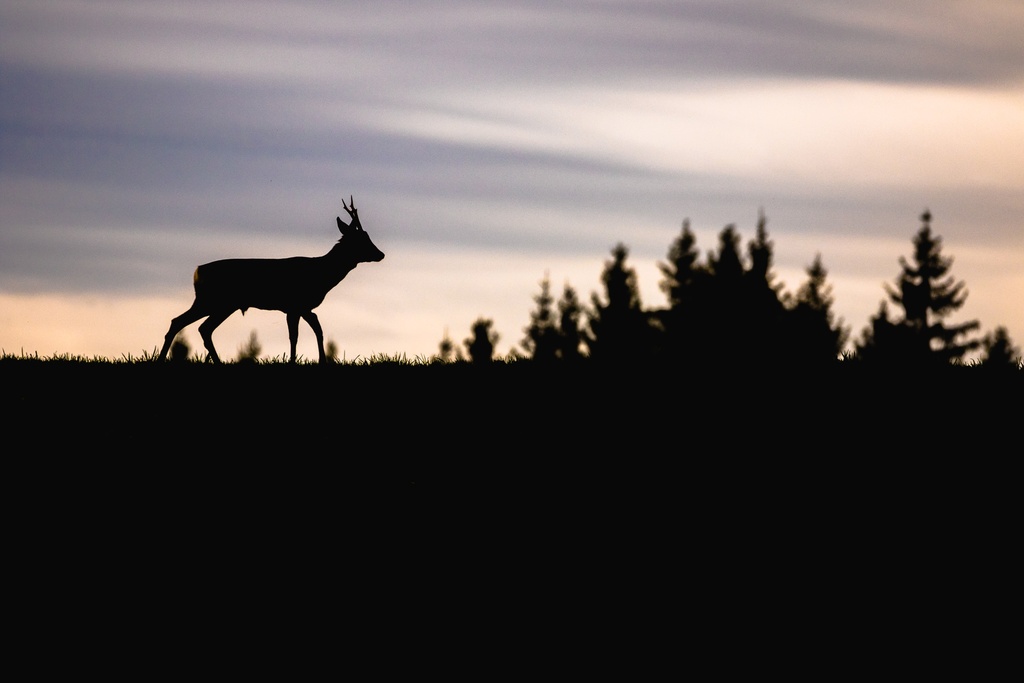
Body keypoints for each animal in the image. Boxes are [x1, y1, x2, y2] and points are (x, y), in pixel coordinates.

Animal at [155, 196, 385, 362]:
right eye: (361, 239)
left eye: (368, 236)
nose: (381, 254)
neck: (321, 275)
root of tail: (198, 271)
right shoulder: (294, 305)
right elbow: (295, 336)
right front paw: (293, 361)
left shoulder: (304, 308)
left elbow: (318, 330)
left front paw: (322, 361)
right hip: (215, 301)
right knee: (188, 324)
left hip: (220, 303)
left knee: (196, 326)